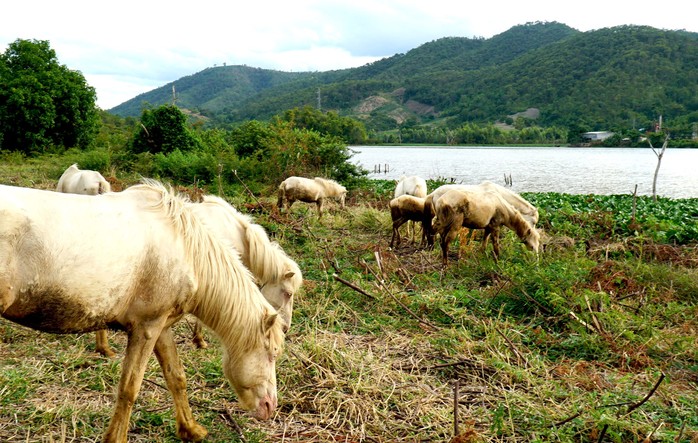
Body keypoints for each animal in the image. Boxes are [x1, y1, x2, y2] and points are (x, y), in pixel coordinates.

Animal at [0, 181, 282, 443]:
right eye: (271, 354)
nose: (271, 406)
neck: (184, 246)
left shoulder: (161, 327)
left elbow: (176, 377)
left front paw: (190, 429)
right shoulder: (146, 328)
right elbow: (129, 388)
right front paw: (116, 438)